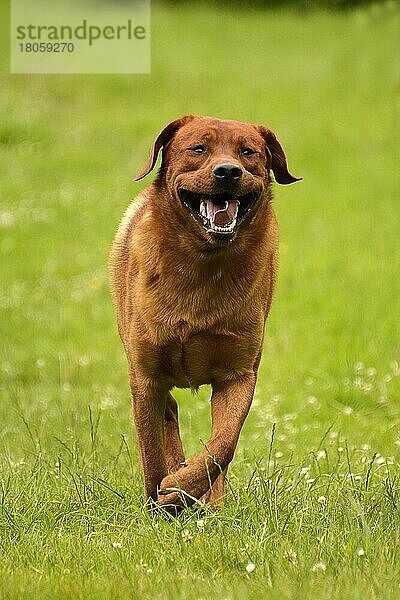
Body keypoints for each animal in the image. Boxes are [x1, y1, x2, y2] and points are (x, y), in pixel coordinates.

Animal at [109, 116, 300, 510]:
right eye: (198, 148)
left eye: (248, 152)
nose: (228, 171)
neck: (202, 264)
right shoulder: (145, 376)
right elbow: (152, 452)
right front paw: (160, 502)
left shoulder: (238, 373)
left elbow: (223, 445)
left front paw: (185, 489)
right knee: (167, 413)